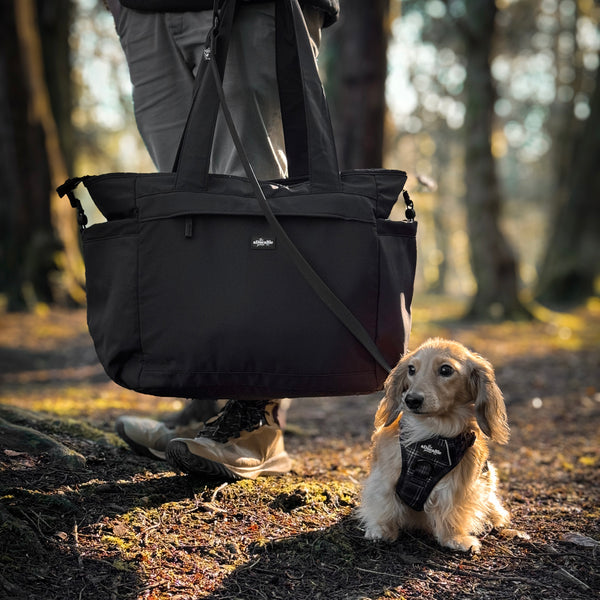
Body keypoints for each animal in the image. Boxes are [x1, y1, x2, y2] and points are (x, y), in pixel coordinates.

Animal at [358, 338, 512, 552]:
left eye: (446, 370)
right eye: (411, 369)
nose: (411, 400)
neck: (430, 438)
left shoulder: (456, 485)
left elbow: (450, 512)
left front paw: (455, 538)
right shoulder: (384, 478)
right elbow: (383, 505)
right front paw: (380, 530)